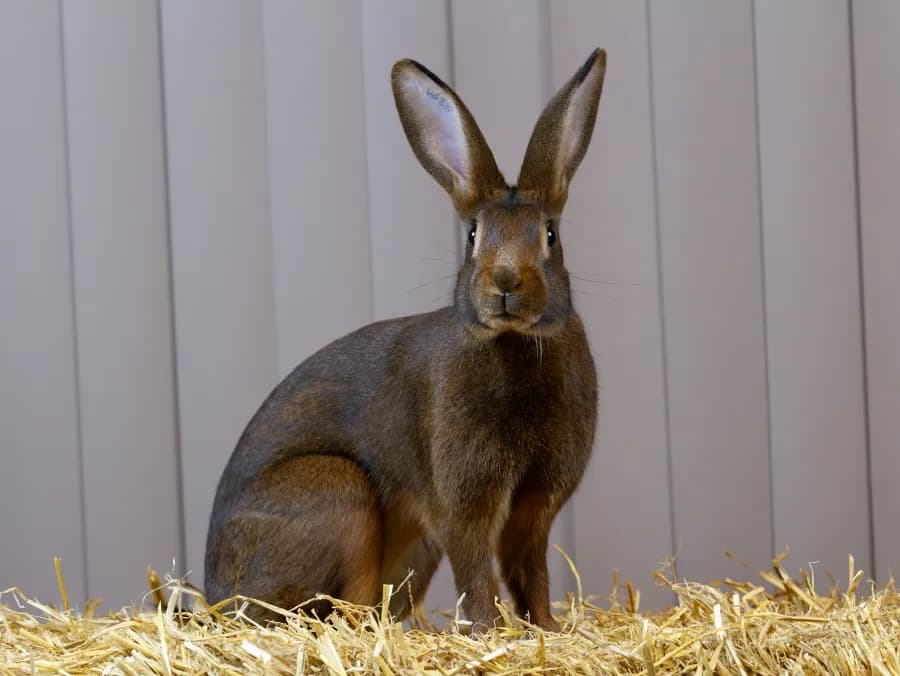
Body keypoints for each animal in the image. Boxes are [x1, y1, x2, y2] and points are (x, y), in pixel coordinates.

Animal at [205, 47, 606, 632]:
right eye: (472, 235)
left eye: (550, 234)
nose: (506, 281)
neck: (511, 342)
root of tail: (213, 600)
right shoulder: (462, 503)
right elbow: (477, 573)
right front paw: (487, 631)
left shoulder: (534, 508)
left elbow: (530, 575)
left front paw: (547, 631)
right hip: (340, 496)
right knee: (344, 610)